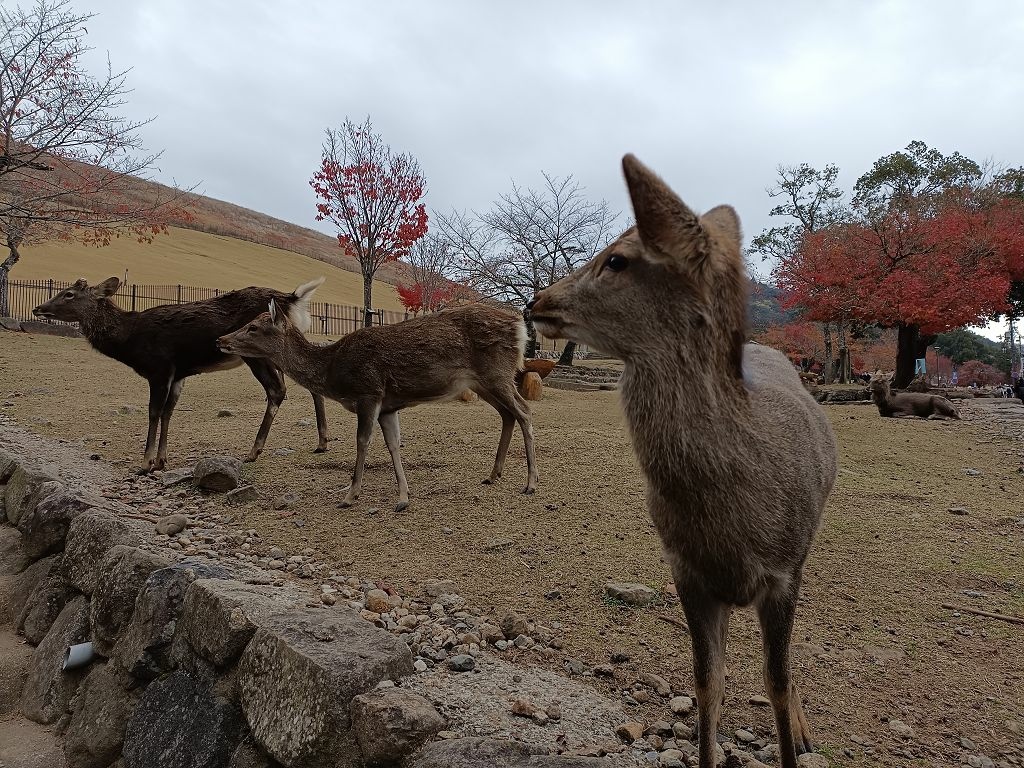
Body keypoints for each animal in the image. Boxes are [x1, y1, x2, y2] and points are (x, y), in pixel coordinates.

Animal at [32, 274, 327, 468]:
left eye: (69, 294)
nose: (38, 308)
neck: (129, 341)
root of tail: (291, 300)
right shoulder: (179, 374)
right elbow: (168, 413)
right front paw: (162, 460)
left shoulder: (160, 367)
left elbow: (154, 412)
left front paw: (145, 463)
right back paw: (322, 442)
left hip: (257, 352)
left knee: (277, 390)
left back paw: (254, 450)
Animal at [219, 303, 540, 514]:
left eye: (253, 327)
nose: (221, 339)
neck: (333, 371)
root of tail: (519, 328)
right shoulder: (388, 406)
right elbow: (393, 444)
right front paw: (403, 497)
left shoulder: (369, 392)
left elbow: (362, 441)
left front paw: (350, 495)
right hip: (482, 383)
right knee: (508, 414)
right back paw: (493, 474)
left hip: (497, 374)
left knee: (524, 411)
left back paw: (531, 483)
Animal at [528, 153, 839, 768]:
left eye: (617, 259)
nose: (538, 300)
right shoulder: (687, 572)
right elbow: (706, 684)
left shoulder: (783, 571)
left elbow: (775, 681)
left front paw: (792, 739)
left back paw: (804, 728)